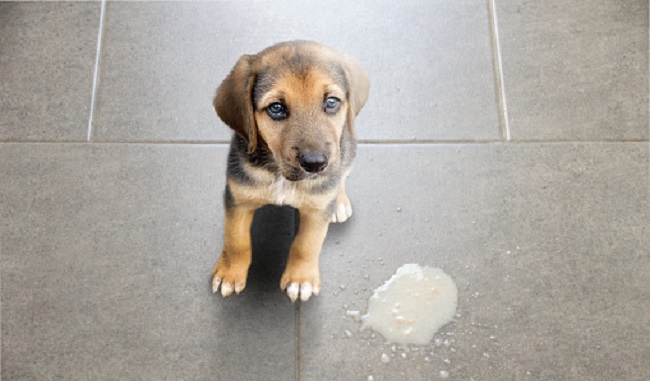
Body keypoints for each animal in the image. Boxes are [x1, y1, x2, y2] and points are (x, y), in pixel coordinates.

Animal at [210, 40, 368, 302]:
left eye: (331, 102)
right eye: (276, 108)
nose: (315, 164)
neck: (281, 176)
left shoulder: (317, 210)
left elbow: (307, 244)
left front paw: (301, 279)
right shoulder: (237, 198)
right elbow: (236, 240)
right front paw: (230, 273)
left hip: (348, 150)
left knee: (342, 175)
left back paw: (340, 202)